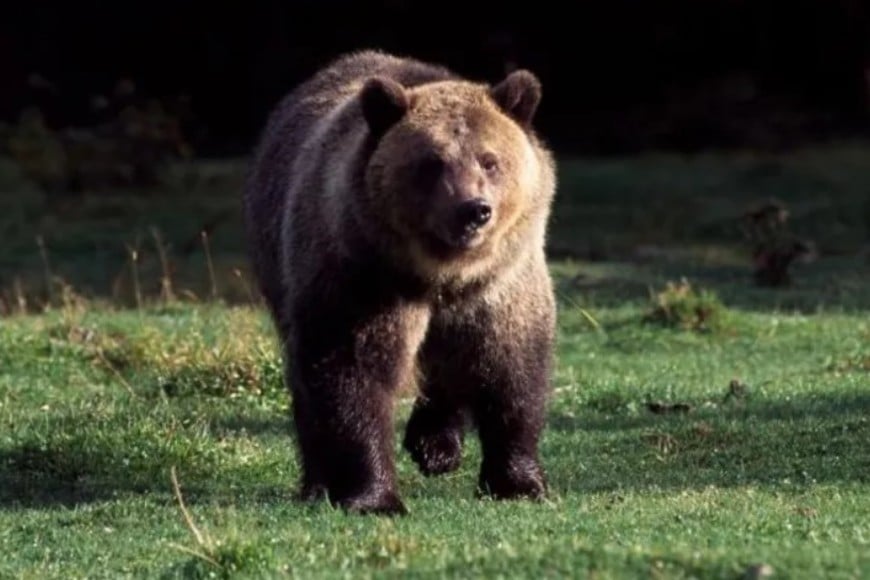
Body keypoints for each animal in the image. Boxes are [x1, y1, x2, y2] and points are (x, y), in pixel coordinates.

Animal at [242, 49, 557, 515]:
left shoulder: (500, 285)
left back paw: (436, 445)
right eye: (432, 163)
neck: (443, 273)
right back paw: (318, 482)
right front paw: (374, 496)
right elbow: (353, 373)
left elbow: (510, 369)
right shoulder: (363, 276)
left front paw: (518, 482)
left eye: (490, 160)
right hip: (281, 266)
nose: (473, 210)